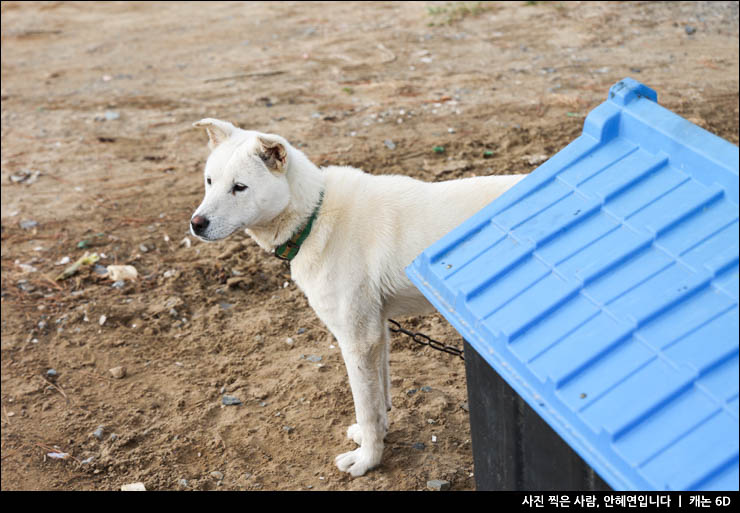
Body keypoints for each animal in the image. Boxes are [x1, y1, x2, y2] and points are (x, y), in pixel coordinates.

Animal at [191, 119, 528, 476]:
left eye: (239, 187)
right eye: (209, 181)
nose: (196, 224)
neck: (314, 216)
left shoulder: (358, 340)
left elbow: (366, 408)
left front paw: (368, 459)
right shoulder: (378, 331)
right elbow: (379, 399)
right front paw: (377, 436)